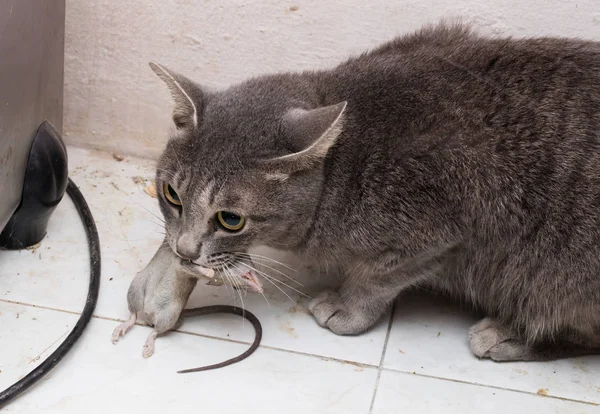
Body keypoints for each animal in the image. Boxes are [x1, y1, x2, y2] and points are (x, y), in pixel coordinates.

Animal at [148, 21, 600, 360]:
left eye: (230, 219)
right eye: (171, 195)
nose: (184, 251)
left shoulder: (433, 235)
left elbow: (374, 279)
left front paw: (346, 310)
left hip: (557, 277)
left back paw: (509, 335)